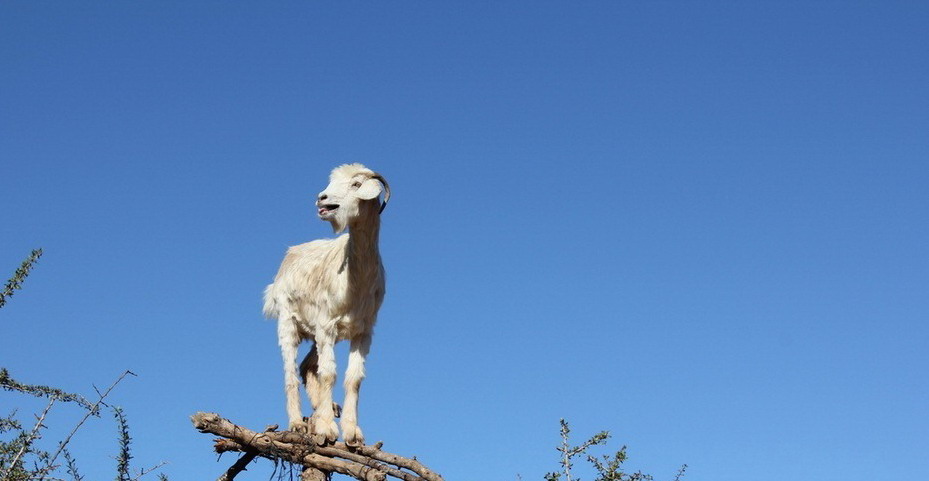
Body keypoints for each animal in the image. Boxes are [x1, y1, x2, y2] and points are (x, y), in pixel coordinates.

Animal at [262, 163, 390, 444]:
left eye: (356, 184)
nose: (322, 199)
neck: (355, 281)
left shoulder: (362, 331)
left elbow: (353, 378)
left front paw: (353, 435)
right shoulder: (327, 326)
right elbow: (329, 373)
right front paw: (327, 429)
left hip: (315, 334)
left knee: (307, 365)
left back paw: (325, 408)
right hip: (288, 323)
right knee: (290, 372)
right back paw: (298, 423)